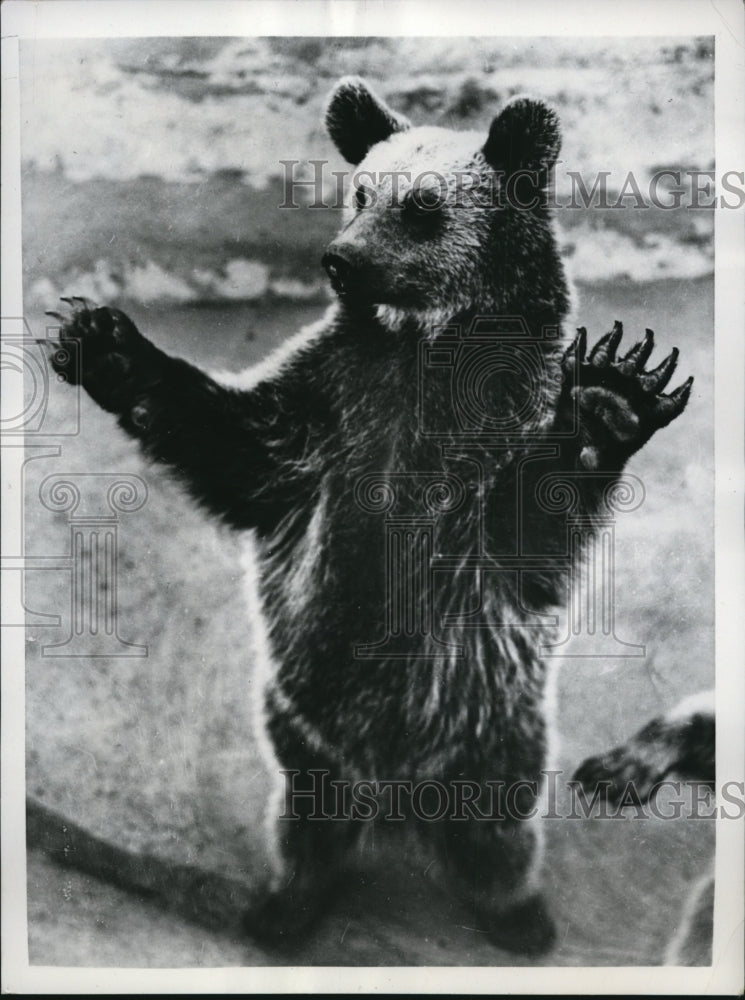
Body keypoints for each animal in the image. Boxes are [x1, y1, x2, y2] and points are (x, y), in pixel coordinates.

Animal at [44, 76, 693, 955]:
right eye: (358, 192)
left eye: (421, 207)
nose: (342, 260)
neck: (420, 348)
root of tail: (396, 795)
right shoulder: (329, 409)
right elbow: (243, 451)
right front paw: (105, 344)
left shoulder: (489, 440)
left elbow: (526, 529)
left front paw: (608, 402)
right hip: (300, 728)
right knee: (307, 819)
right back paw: (285, 908)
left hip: (492, 727)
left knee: (498, 828)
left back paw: (518, 917)